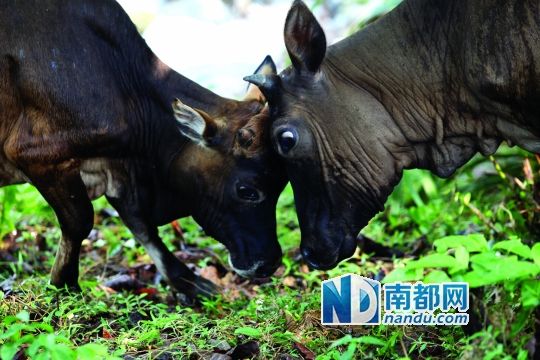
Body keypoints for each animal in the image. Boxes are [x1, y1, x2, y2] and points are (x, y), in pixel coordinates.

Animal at [0, 0, 286, 298]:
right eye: (247, 190)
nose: (269, 263)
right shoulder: (38, 156)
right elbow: (81, 221)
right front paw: (63, 284)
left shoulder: (119, 170)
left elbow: (141, 224)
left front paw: (188, 280)